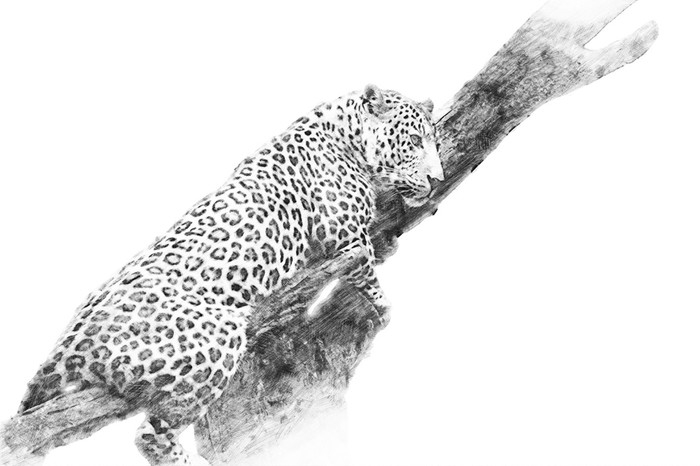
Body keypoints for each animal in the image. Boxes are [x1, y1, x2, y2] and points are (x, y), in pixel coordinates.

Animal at [14, 84, 444, 465]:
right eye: (414, 140)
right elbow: (366, 266)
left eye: (433, 143)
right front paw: (384, 305)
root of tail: (69, 340)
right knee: (150, 434)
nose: (437, 180)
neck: (343, 132)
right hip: (217, 338)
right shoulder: (344, 234)